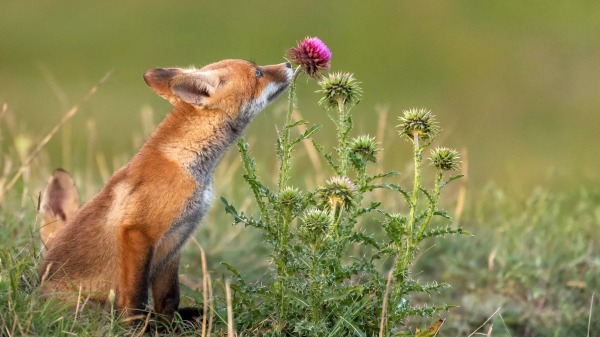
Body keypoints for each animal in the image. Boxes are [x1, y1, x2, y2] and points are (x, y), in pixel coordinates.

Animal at [38, 59, 292, 322]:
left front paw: (169, 324)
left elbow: (169, 297)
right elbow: (135, 298)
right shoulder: (138, 232)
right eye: (258, 73)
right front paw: (137, 326)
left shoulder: (174, 241)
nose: (288, 63)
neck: (189, 166)